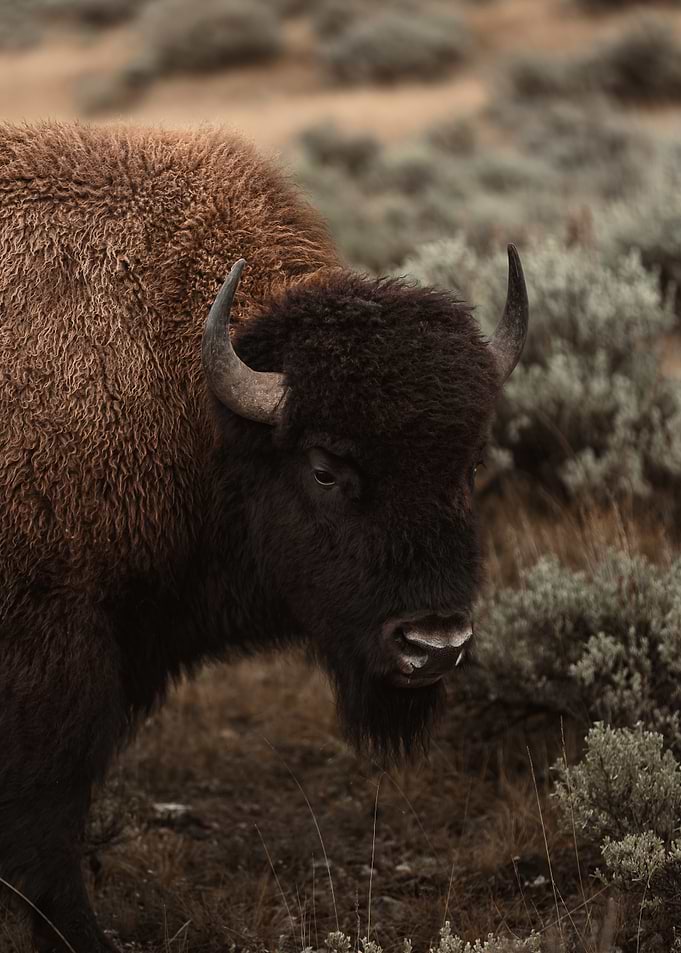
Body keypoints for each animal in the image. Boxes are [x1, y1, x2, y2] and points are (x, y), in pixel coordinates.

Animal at [0, 122, 528, 952]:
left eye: (469, 460)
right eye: (323, 466)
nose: (433, 644)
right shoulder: (57, 654)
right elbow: (50, 807)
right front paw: (84, 934)